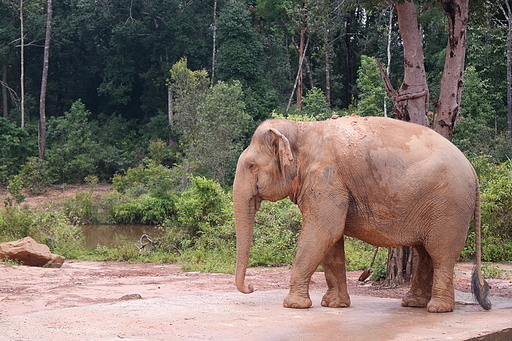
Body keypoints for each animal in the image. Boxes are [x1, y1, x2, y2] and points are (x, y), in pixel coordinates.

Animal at [233, 115, 492, 314]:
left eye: (251, 166)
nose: (251, 288)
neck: (302, 128)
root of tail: (472, 169)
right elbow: (331, 240)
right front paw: (333, 305)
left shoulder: (327, 179)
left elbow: (323, 231)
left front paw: (294, 306)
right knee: (425, 252)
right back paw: (413, 303)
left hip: (449, 206)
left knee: (441, 253)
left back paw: (437, 309)